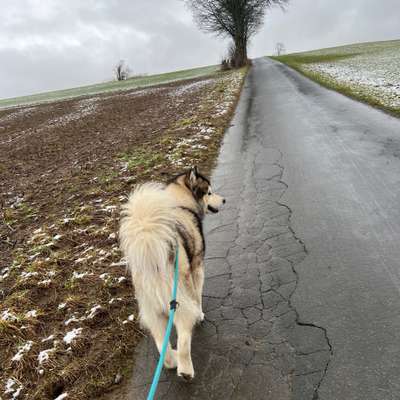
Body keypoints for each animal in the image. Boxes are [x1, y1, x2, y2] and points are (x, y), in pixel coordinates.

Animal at [119, 167, 225, 380]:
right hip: (179, 303)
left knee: (162, 345)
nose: (224, 200)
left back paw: (171, 360)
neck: (179, 202)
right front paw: (201, 314)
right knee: (184, 339)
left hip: (154, 312)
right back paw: (185, 369)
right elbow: (198, 295)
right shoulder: (197, 268)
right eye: (209, 192)